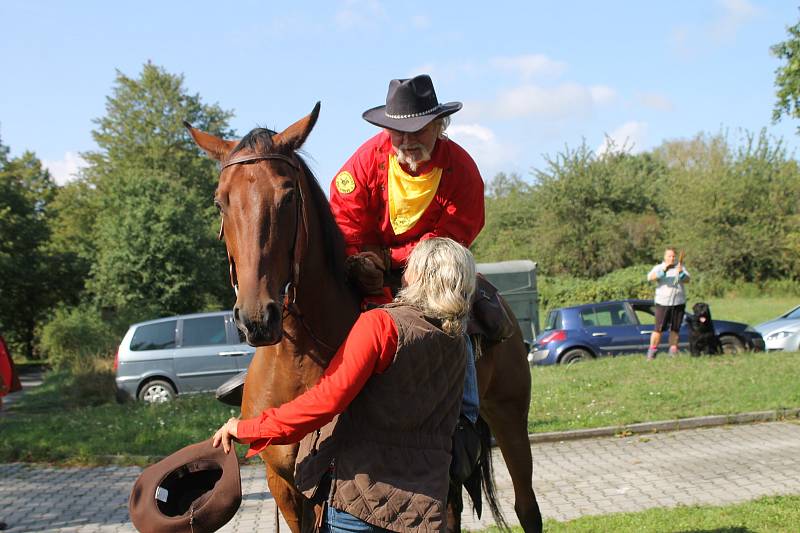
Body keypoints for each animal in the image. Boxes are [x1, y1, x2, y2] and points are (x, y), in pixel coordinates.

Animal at [186, 105, 544, 532]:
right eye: (220, 202)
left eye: (287, 196)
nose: (257, 318)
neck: (300, 359)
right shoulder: (284, 487)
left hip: (509, 417)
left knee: (527, 508)